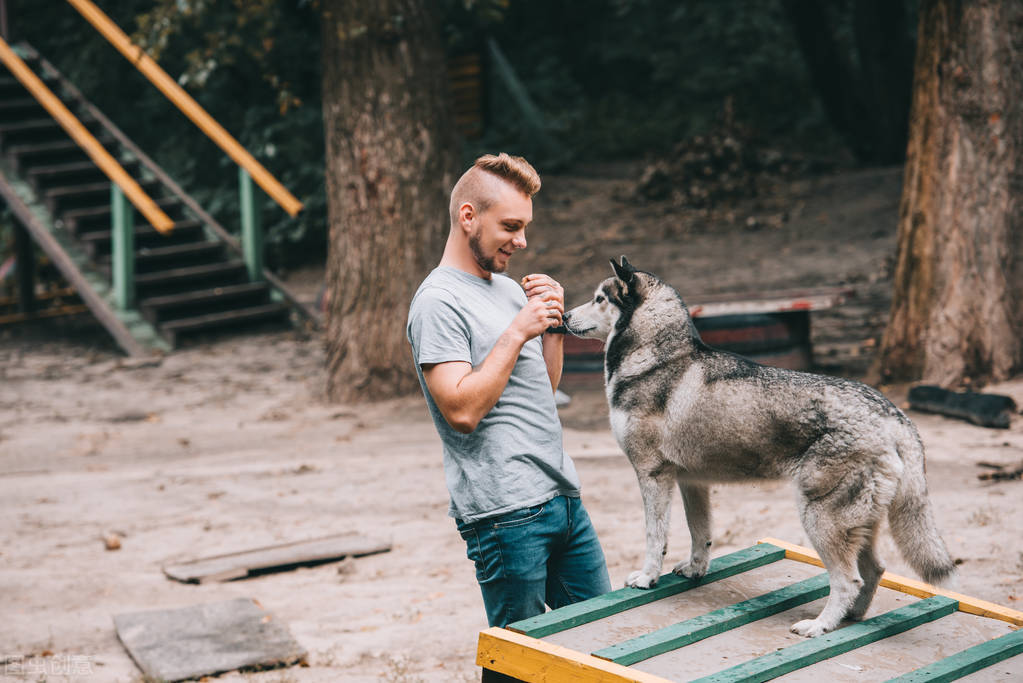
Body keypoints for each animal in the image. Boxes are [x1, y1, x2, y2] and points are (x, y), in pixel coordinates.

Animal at [564, 258, 953, 638]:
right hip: (857, 525)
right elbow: (700, 534)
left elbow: (654, 537)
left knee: (848, 580)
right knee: (873, 572)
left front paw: (647, 577)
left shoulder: (652, 476)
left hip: (819, 519)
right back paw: (850, 618)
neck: (656, 357)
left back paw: (820, 626)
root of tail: (892, 414)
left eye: (599, 299)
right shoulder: (692, 482)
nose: (565, 316)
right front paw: (694, 570)